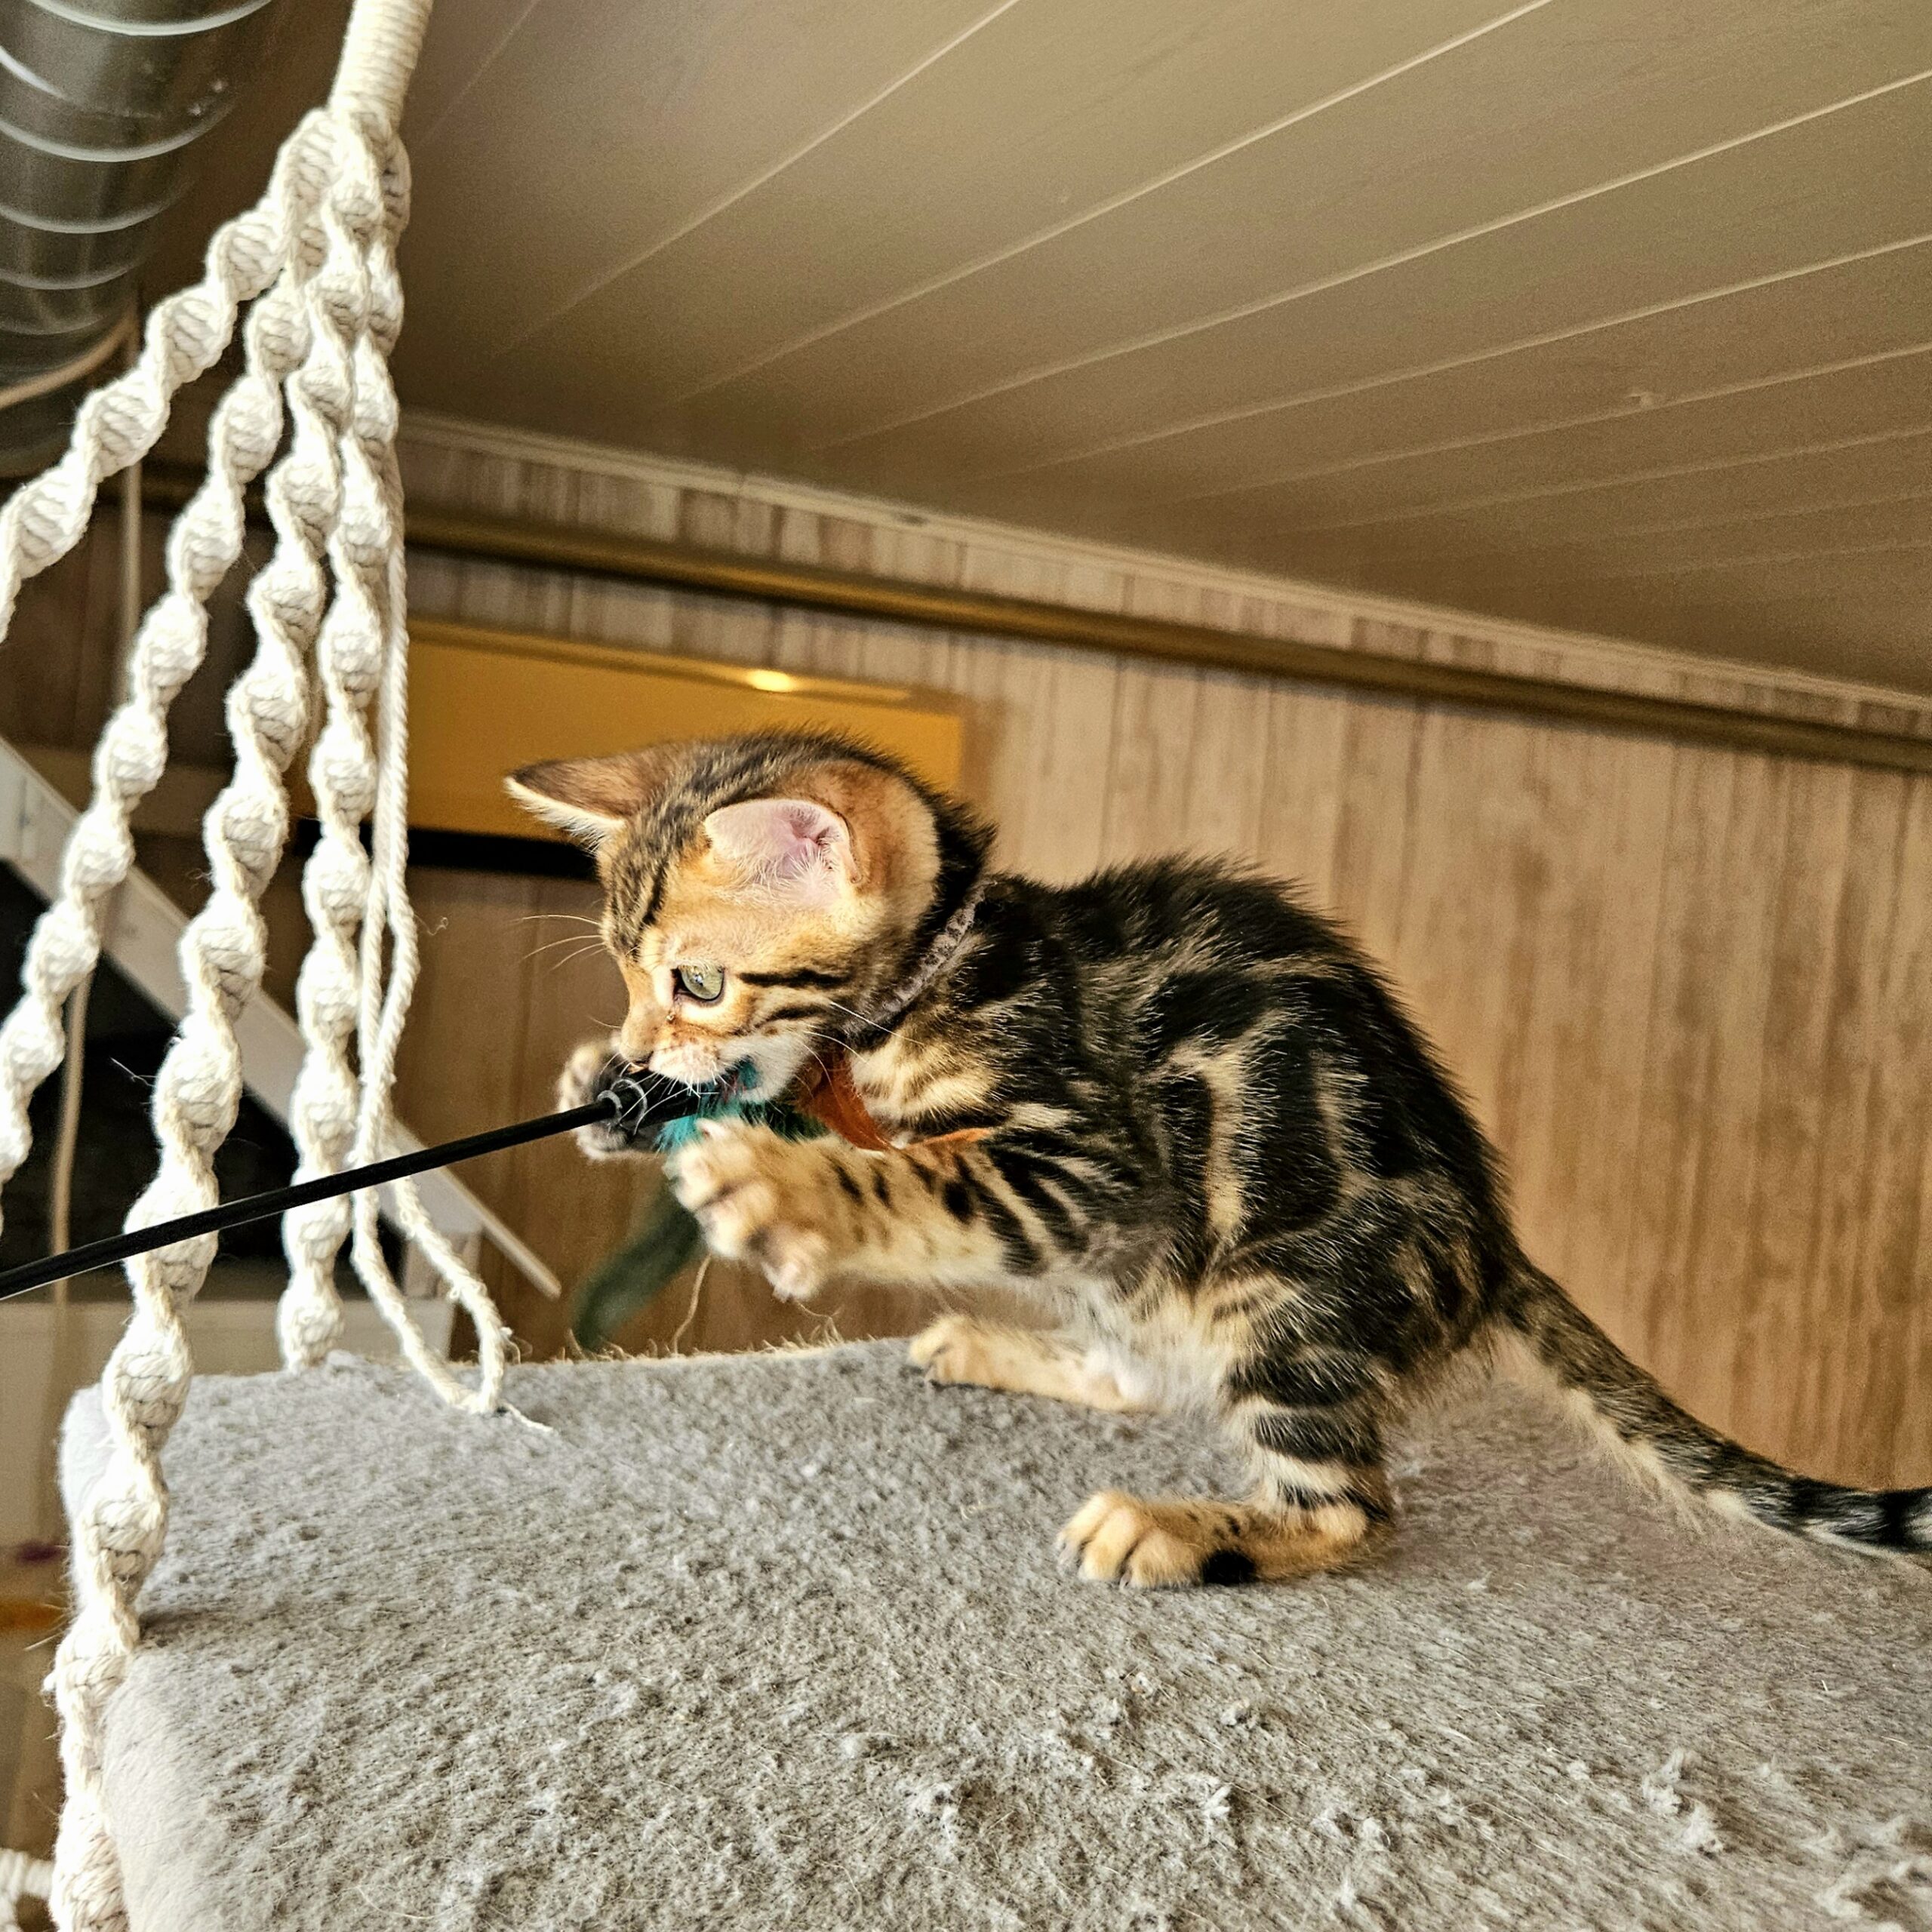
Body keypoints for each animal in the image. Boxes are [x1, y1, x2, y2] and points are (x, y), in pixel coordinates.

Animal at [509, 729, 1931, 1587]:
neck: (949, 969)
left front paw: (779, 1181)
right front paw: (603, 1093)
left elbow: (926, 1173)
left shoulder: (1094, 1165)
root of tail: (1493, 1243)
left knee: (1353, 1510)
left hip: (1280, 1290)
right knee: (1144, 1375)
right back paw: (1000, 1347)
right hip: (1162, 1288)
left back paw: (1176, 1527)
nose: (636, 1047)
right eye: (627, 973)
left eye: (699, 980)